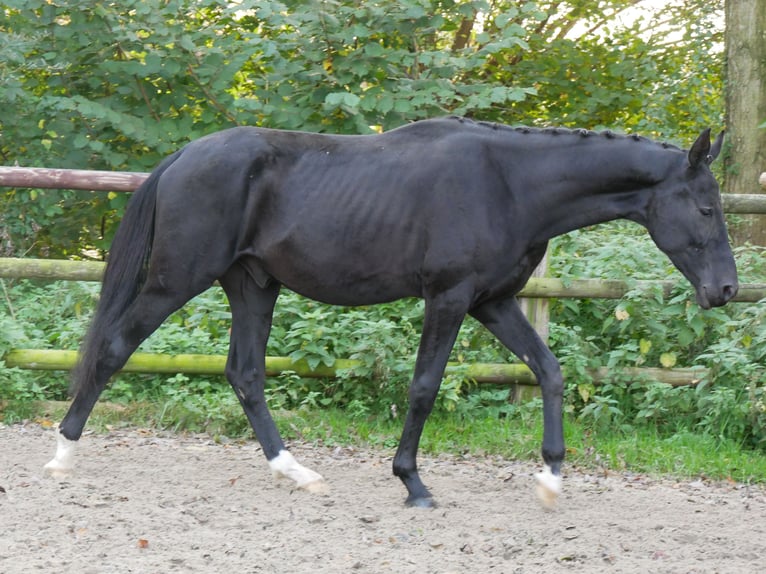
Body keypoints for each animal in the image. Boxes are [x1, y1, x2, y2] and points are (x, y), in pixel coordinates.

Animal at [46, 117, 736, 508]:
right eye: (705, 208)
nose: (726, 290)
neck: (510, 184)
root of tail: (184, 159)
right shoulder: (450, 298)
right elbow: (425, 387)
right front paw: (412, 482)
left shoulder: (493, 303)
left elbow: (550, 371)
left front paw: (550, 478)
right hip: (177, 280)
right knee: (114, 349)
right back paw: (62, 458)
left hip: (253, 286)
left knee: (244, 375)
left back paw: (297, 473)